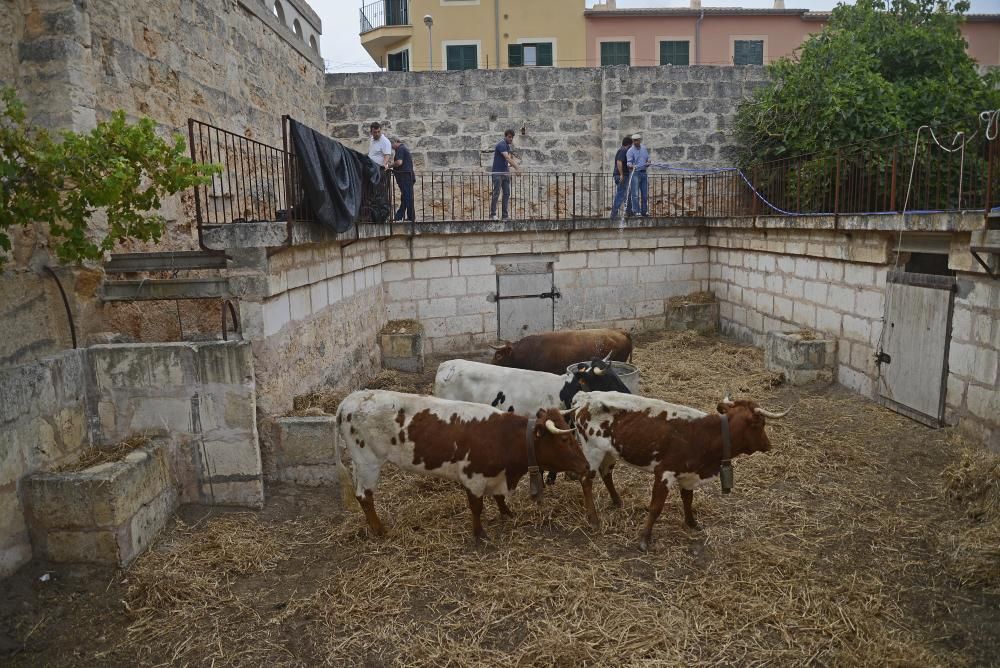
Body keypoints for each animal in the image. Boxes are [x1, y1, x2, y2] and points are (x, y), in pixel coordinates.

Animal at [332, 388, 596, 540]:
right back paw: (380, 531)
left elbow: (499, 498)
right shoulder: (473, 477)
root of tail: (349, 401)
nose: (586, 466)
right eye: (564, 439)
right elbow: (476, 507)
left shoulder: (496, 476)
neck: (504, 437)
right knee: (364, 496)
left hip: (359, 464)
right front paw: (479, 535)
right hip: (368, 462)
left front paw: (507, 513)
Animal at [572, 388, 788, 552]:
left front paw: (692, 523)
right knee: (586, 480)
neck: (706, 435)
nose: (768, 445)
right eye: (761, 424)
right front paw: (644, 539)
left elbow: (688, 499)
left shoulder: (689, 476)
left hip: (609, 452)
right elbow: (655, 507)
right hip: (592, 451)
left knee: (606, 473)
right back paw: (594, 520)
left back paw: (617, 501)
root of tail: (586, 396)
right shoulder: (664, 473)